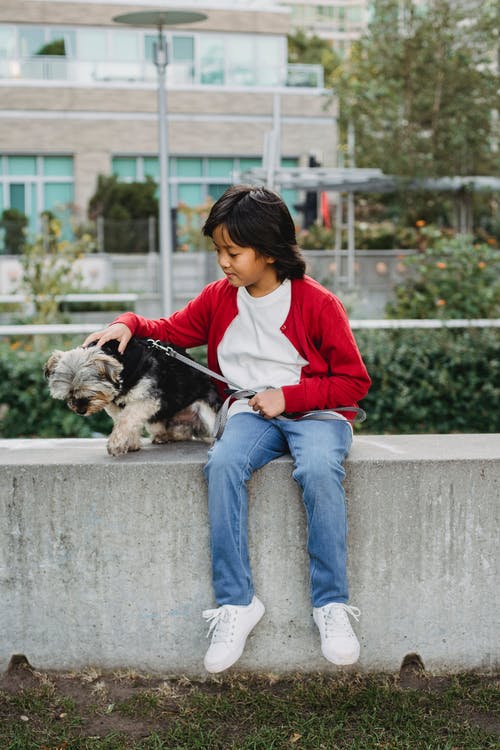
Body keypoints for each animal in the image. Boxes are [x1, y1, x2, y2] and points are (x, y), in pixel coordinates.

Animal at [43, 338, 221, 456]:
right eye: (69, 393)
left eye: (89, 390)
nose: (81, 411)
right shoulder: (116, 405)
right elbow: (126, 421)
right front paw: (131, 444)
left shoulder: (147, 399)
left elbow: (126, 419)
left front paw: (115, 443)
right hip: (157, 422)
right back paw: (163, 436)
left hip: (207, 410)